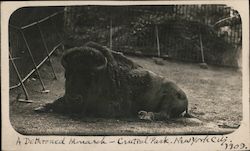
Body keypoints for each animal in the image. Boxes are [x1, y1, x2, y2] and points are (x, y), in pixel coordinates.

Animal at [35, 42, 190, 121]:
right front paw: (41, 107)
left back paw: (144, 115)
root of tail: (185, 97)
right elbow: (57, 101)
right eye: (67, 74)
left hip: (169, 97)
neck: (102, 75)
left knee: (164, 114)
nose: (73, 98)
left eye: (90, 75)